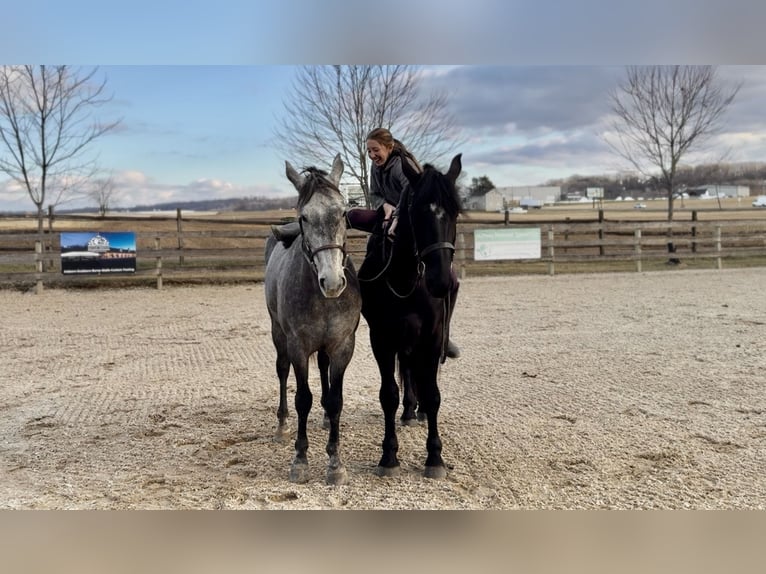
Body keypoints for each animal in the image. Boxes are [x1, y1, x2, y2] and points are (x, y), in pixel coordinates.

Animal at [264, 153, 362, 485]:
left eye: (344, 212)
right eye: (305, 217)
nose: (331, 282)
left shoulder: (343, 345)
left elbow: (335, 399)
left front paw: (335, 462)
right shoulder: (298, 346)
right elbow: (302, 398)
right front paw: (301, 460)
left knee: (323, 371)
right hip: (278, 334)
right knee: (282, 372)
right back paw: (282, 426)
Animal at [359, 153, 462, 479]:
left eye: (455, 212)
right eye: (417, 212)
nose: (440, 281)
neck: (406, 278)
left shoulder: (431, 337)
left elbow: (433, 394)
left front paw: (435, 458)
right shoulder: (382, 339)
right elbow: (388, 394)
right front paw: (389, 456)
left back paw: (417, 411)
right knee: (405, 370)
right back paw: (408, 411)